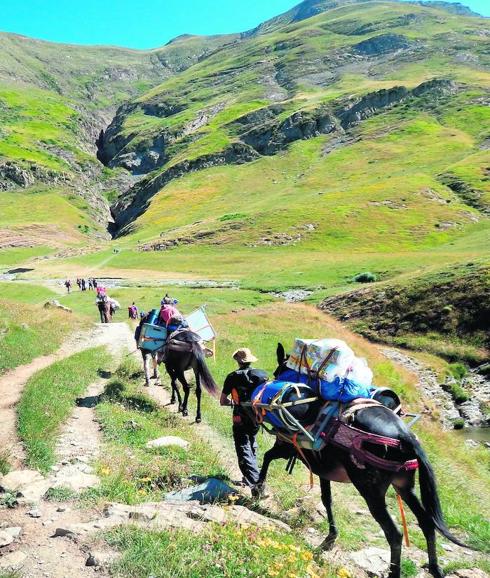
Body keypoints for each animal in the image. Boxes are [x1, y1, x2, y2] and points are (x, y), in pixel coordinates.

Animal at [255, 344, 468, 576]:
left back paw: (395, 572)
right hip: (404, 486)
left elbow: (267, 457)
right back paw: (435, 568)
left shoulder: (286, 447)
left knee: (394, 534)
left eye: (278, 370)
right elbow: (327, 499)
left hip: (371, 490)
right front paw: (330, 538)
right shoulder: (322, 469)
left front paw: (258, 490)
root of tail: (405, 436)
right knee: (427, 523)